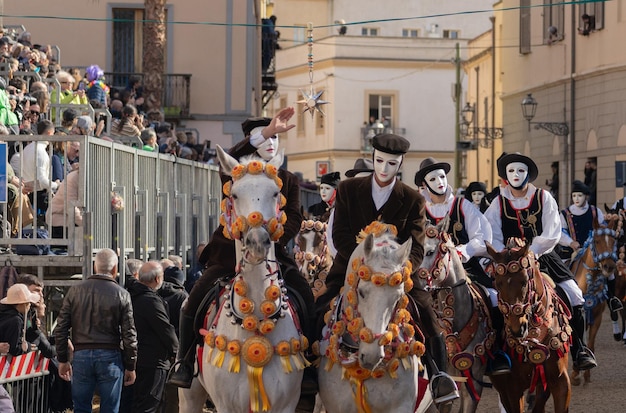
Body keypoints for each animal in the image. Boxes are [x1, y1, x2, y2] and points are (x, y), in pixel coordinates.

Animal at [179, 146, 306, 410]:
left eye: (276, 193)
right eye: (235, 195)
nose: (257, 242)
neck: (255, 319)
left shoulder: (286, 405)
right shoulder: (226, 405)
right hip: (190, 395)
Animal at [568, 214, 616, 384]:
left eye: (613, 241)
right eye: (596, 241)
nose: (609, 266)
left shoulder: (597, 317)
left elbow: (590, 344)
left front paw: (586, 373)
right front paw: (575, 374)